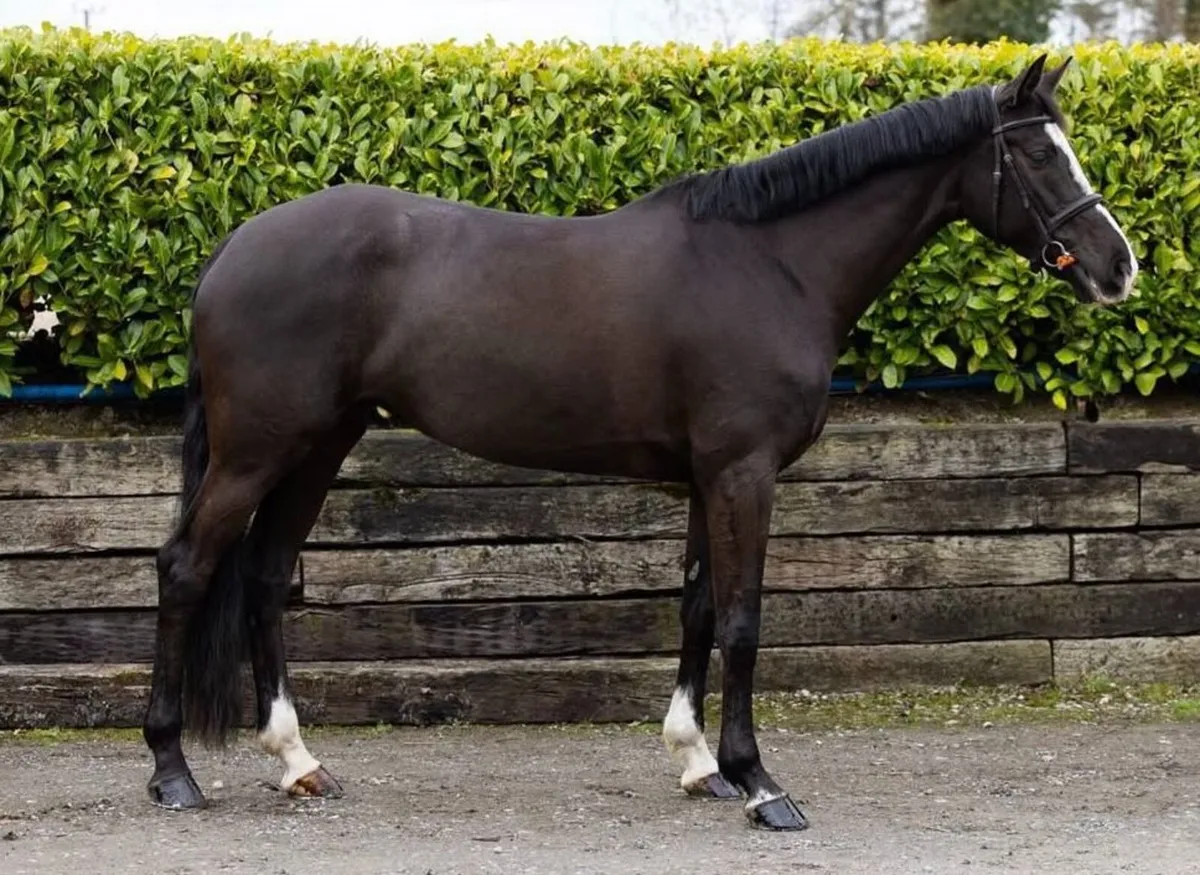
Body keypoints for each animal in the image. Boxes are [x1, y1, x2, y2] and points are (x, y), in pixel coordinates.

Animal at [142, 53, 1137, 831]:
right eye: (1037, 154)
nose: (1119, 267)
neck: (770, 264)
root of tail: (233, 247)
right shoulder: (744, 473)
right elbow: (742, 618)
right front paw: (759, 782)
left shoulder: (708, 477)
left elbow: (697, 605)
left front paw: (698, 762)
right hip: (257, 450)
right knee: (187, 566)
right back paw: (171, 770)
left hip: (319, 443)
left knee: (266, 573)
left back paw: (297, 761)